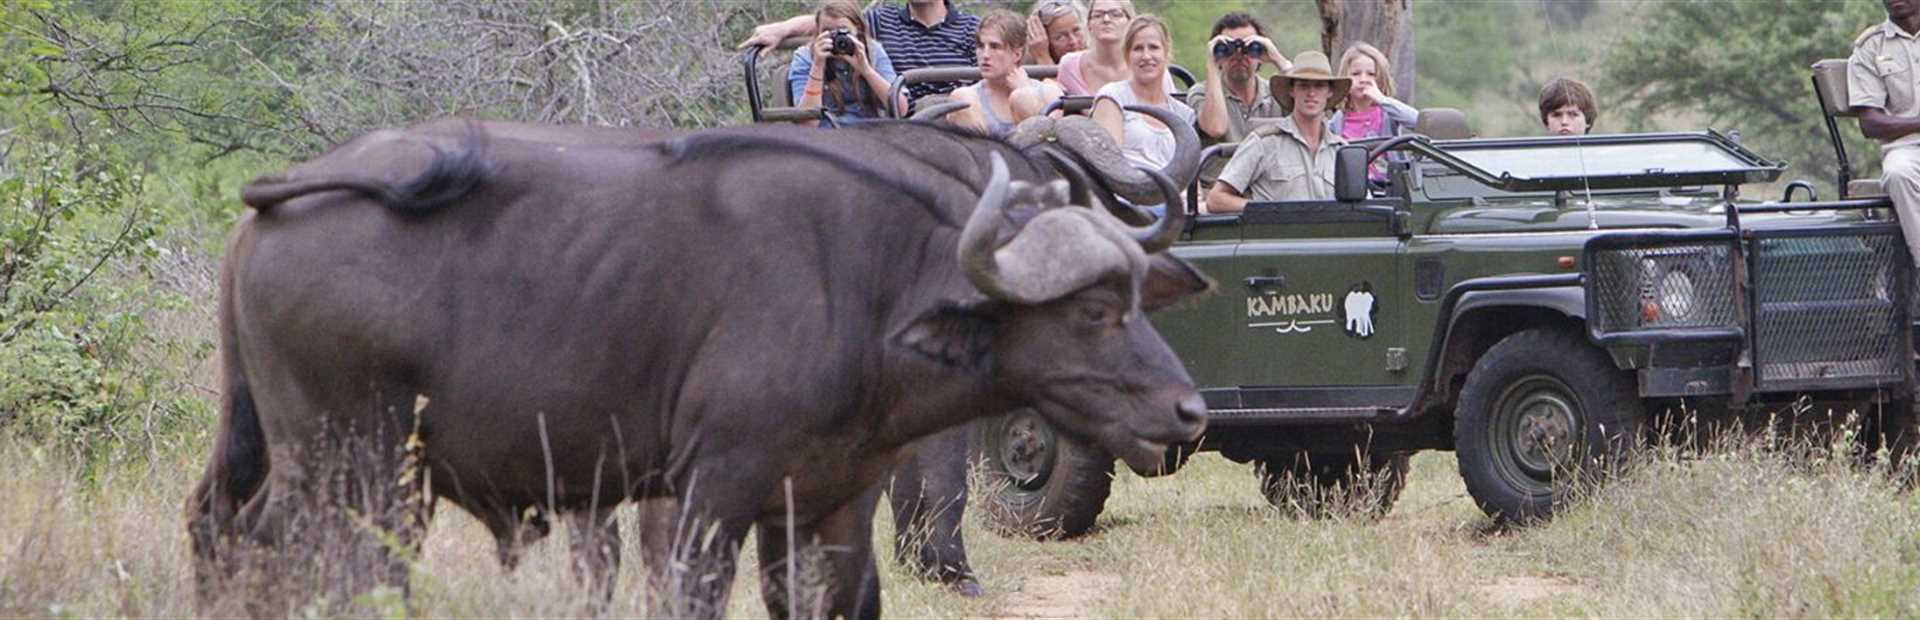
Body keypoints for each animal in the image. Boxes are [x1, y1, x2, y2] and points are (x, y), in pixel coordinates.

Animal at [198, 115, 1213, 618]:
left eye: (1136, 295)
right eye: (1093, 309)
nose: (1187, 412)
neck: (862, 283)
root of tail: (277, 203)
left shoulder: (828, 508)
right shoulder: (708, 497)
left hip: (277, 454)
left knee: (226, 533)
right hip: (356, 468)